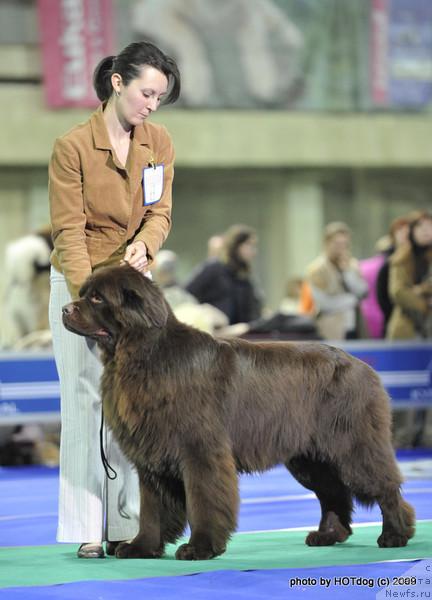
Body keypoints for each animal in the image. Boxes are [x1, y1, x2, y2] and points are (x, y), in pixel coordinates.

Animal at [61, 264, 416, 560]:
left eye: (97, 298)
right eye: (83, 293)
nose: (65, 309)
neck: (143, 356)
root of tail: (364, 367)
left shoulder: (200, 451)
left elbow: (203, 500)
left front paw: (200, 547)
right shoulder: (153, 456)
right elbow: (152, 508)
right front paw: (142, 547)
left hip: (353, 446)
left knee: (385, 486)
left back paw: (395, 534)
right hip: (310, 459)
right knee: (333, 493)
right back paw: (328, 535)